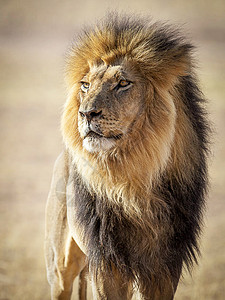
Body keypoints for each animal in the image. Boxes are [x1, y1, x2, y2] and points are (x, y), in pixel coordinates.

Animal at [44, 13, 210, 300]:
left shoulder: (164, 266)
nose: (86, 113)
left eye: (122, 84)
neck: (133, 181)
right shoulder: (106, 263)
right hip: (60, 266)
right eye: (86, 85)